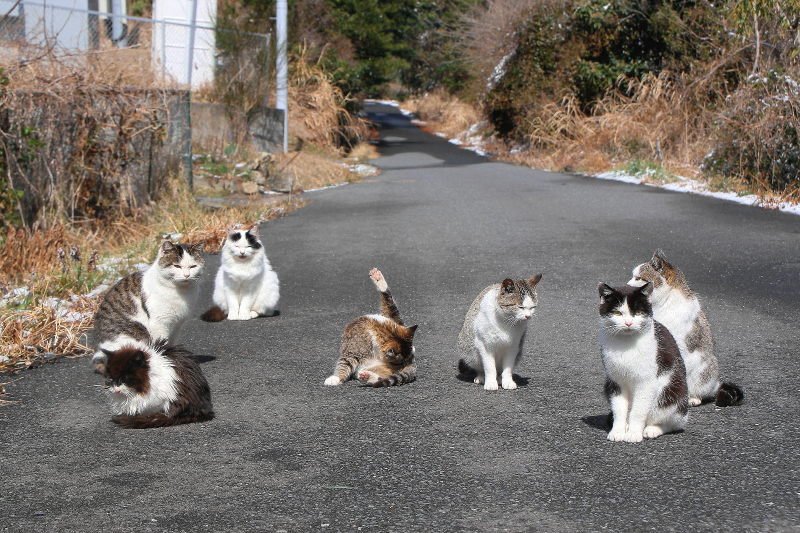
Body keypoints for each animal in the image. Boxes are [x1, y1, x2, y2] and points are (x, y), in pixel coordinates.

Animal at [91, 239, 206, 372]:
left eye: (193, 266)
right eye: (177, 266)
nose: (187, 275)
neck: (182, 291)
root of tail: (98, 354)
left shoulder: (177, 324)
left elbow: (170, 343)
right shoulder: (159, 323)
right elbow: (162, 343)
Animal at [596, 282, 692, 440]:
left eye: (638, 312)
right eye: (617, 313)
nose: (628, 323)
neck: (626, 344)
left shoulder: (646, 382)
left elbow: (638, 411)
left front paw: (634, 433)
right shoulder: (615, 380)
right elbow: (619, 409)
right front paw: (618, 431)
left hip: (673, 393)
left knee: (675, 422)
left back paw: (652, 429)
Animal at [632, 249, 744, 408]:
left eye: (638, 278)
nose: (626, 284)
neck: (664, 304)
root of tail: (715, 385)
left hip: (705, 367)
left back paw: (692, 398)